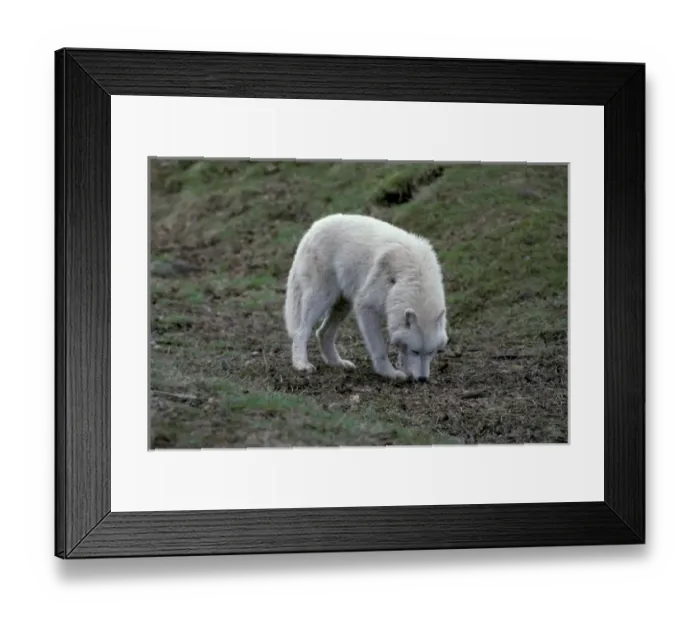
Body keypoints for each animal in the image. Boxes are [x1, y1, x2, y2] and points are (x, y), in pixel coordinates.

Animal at [283, 213, 448, 382]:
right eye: (415, 351)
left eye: (431, 352)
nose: (422, 379)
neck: (412, 278)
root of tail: (313, 228)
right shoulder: (366, 307)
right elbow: (380, 348)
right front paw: (389, 373)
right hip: (320, 299)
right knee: (301, 331)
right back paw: (301, 364)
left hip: (343, 306)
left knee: (323, 333)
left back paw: (338, 363)